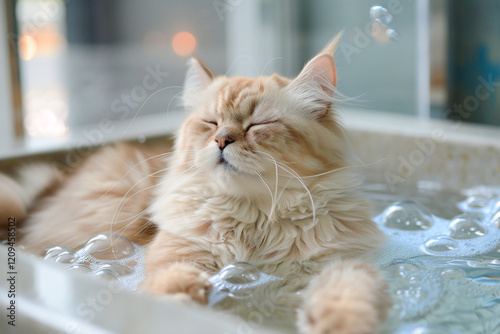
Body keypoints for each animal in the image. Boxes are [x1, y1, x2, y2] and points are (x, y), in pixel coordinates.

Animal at [0, 34, 390, 334]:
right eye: (211, 122)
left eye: (258, 125)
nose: (221, 140)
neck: (255, 222)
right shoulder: (179, 251)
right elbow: (171, 280)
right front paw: (182, 299)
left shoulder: (338, 261)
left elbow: (347, 292)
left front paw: (338, 322)